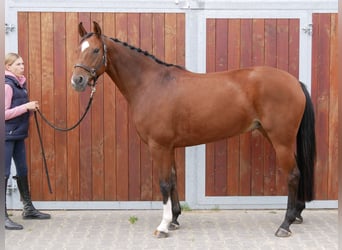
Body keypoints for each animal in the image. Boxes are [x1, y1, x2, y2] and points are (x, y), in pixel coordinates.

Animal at [71, 20, 316, 237]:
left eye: (95, 50)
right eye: (77, 50)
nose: (78, 80)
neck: (151, 84)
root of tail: (295, 82)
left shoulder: (159, 146)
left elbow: (164, 183)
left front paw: (163, 226)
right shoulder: (168, 147)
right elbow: (173, 179)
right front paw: (174, 219)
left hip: (281, 140)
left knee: (293, 174)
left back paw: (285, 225)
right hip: (274, 136)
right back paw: (296, 214)